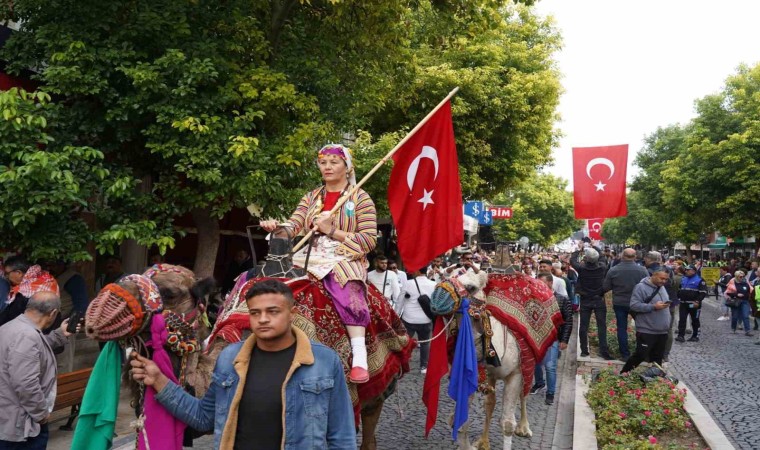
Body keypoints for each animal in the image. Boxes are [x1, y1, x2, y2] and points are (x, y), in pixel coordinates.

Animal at [428, 268, 564, 450]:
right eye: (444, 278)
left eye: (471, 287)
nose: (436, 298)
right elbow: (461, 421)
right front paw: (471, 444)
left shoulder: (516, 373)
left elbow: (507, 423)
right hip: (492, 375)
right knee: (490, 402)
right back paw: (483, 441)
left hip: (530, 361)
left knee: (524, 394)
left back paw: (524, 428)